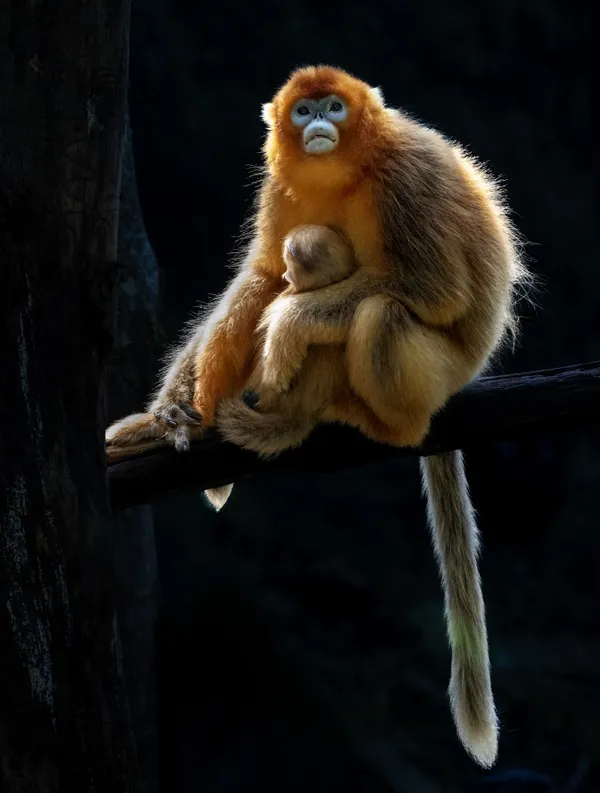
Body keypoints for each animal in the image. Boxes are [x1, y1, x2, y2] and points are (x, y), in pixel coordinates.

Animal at [105, 65, 531, 768]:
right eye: (303, 111)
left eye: (334, 105)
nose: (320, 124)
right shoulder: (282, 185)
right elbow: (257, 273)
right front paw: (169, 412)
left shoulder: (407, 178)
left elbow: (434, 292)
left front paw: (289, 324)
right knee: (283, 274)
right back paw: (191, 423)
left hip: (436, 374)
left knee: (377, 312)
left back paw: (340, 421)